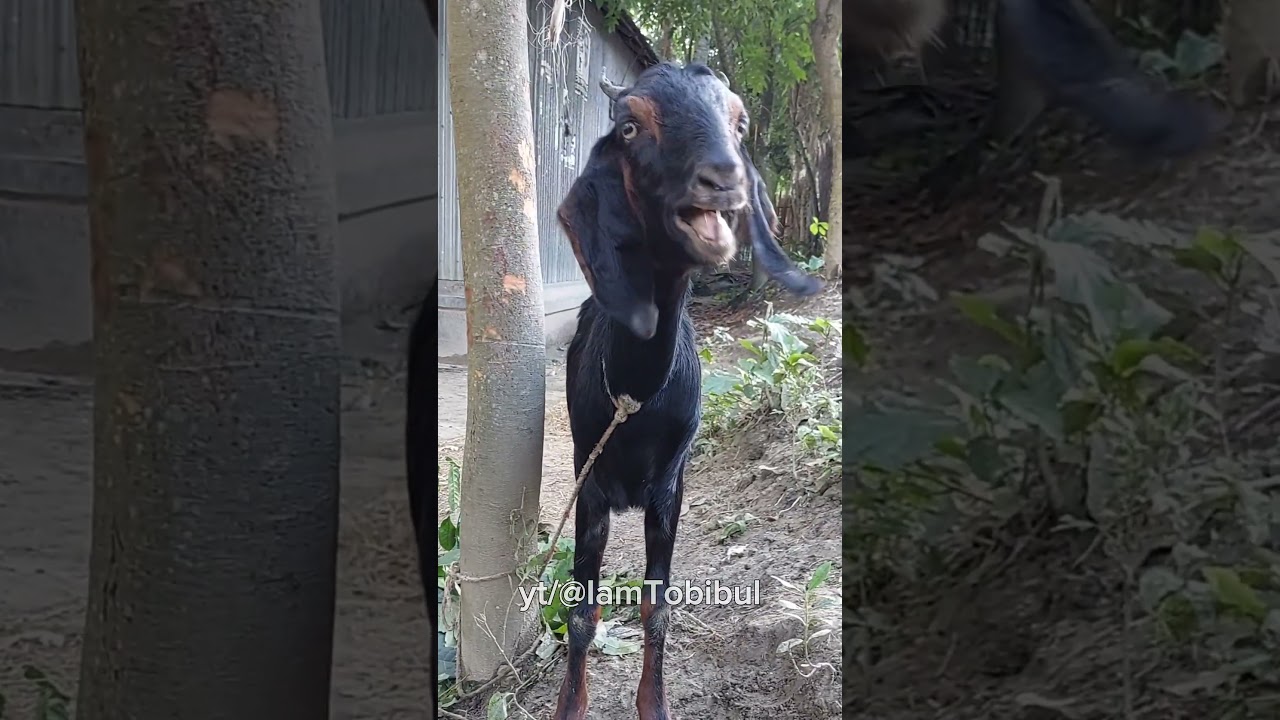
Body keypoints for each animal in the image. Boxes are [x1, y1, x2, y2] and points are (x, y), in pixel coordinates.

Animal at [550, 62, 821, 720]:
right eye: (629, 126)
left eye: (739, 123)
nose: (723, 181)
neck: (634, 399)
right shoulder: (589, 483)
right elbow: (581, 609)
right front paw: (571, 705)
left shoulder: (669, 488)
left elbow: (657, 606)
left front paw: (655, 703)